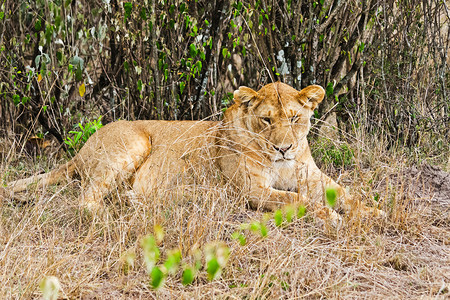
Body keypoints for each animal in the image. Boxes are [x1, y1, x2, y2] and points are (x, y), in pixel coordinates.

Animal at [5, 82, 382, 223]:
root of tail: (81, 149)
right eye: (266, 120)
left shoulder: (313, 178)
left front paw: (373, 213)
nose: (284, 147)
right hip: (134, 143)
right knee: (86, 200)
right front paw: (330, 216)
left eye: (294, 118)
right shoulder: (252, 190)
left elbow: (345, 194)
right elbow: (297, 200)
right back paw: (117, 212)